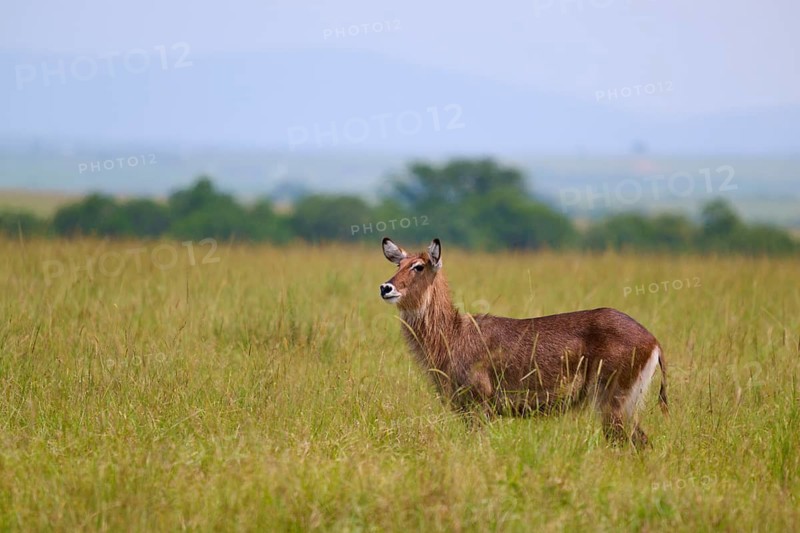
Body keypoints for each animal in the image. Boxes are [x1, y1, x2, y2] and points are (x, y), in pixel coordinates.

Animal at [379, 237, 668, 447]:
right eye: (398, 265)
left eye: (419, 266)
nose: (386, 288)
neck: (453, 334)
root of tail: (653, 340)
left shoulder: (480, 405)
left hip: (614, 401)